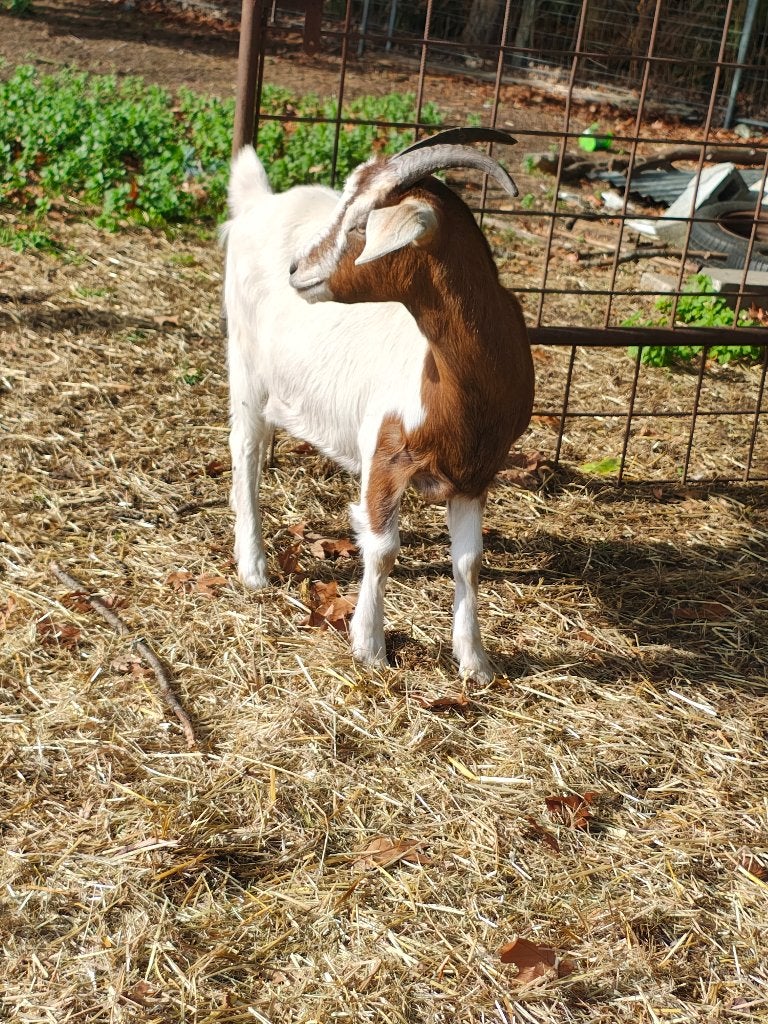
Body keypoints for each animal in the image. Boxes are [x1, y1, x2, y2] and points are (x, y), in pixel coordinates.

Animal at [224, 127, 534, 684]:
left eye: (360, 224)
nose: (296, 270)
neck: (451, 385)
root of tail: (259, 203)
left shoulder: (477, 472)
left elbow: (469, 561)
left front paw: (475, 662)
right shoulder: (386, 453)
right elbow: (384, 548)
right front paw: (368, 646)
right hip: (245, 363)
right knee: (247, 450)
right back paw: (254, 567)